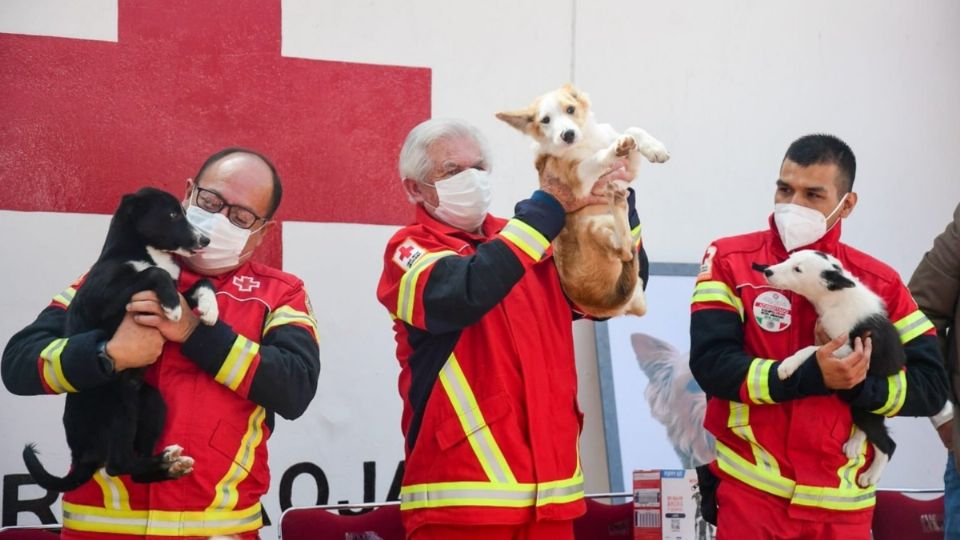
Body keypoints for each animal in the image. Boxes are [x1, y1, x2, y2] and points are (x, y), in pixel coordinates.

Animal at [23, 188, 219, 492]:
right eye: (173, 213)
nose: (205, 240)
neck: (145, 251)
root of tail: (80, 456)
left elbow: (202, 284)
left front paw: (210, 309)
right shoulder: (101, 297)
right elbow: (153, 273)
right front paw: (172, 305)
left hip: (151, 401)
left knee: (134, 467)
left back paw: (168, 463)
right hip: (119, 407)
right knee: (118, 464)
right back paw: (163, 461)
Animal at [496, 84, 668, 316]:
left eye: (570, 109)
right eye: (545, 120)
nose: (567, 135)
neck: (587, 141)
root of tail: (607, 304)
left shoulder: (628, 169)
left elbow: (632, 130)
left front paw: (654, 148)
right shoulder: (579, 178)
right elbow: (597, 158)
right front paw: (613, 150)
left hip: (637, 288)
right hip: (595, 227)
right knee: (624, 251)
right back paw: (618, 204)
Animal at [756, 251, 908, 488]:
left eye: (797, 269)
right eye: (789, 259)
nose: (767, 271)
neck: (835, 297)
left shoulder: (847, 349)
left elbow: (811, 349)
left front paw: (788, 365)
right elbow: (814, 345)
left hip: (867, 406)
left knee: (888, 445)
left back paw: (871, 474)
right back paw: (855, 443)